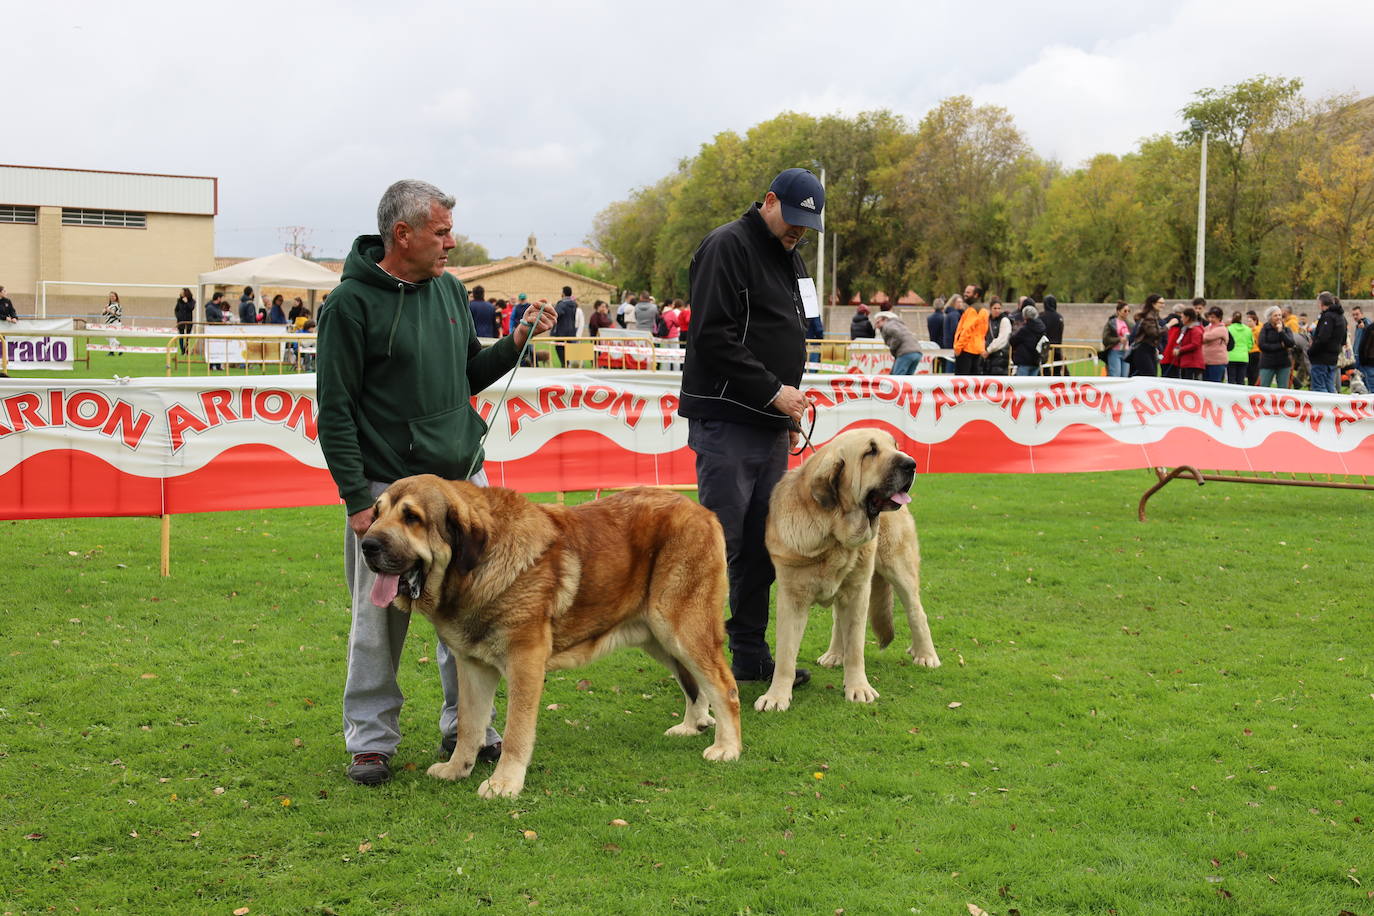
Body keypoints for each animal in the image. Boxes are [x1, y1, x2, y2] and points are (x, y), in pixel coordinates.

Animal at [357, 477, 741, 796]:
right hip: (658, 638)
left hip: (682, 628)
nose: (367, 544)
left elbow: (516, 730)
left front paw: (504, 782)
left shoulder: (524, 661)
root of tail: (703, 512)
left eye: (412, 517)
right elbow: (469, 724)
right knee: (694, 685)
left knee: (723, 686)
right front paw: (457, 769)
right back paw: (692, 726)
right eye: (377, 513)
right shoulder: (472, 666)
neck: (477, 569)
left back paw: (727, 747)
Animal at [758, 425, 939, 714]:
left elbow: (856, 647)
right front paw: (777, 696)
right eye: (870, 451)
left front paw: (858, 688)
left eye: (894, 445)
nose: (912, 463)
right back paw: (834, 654)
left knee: (916, 612)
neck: (833, 530)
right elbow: (786, 653)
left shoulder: (857, 591)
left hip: (898, 569)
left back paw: (926, 655)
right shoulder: (792, 597)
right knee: (838, 621)